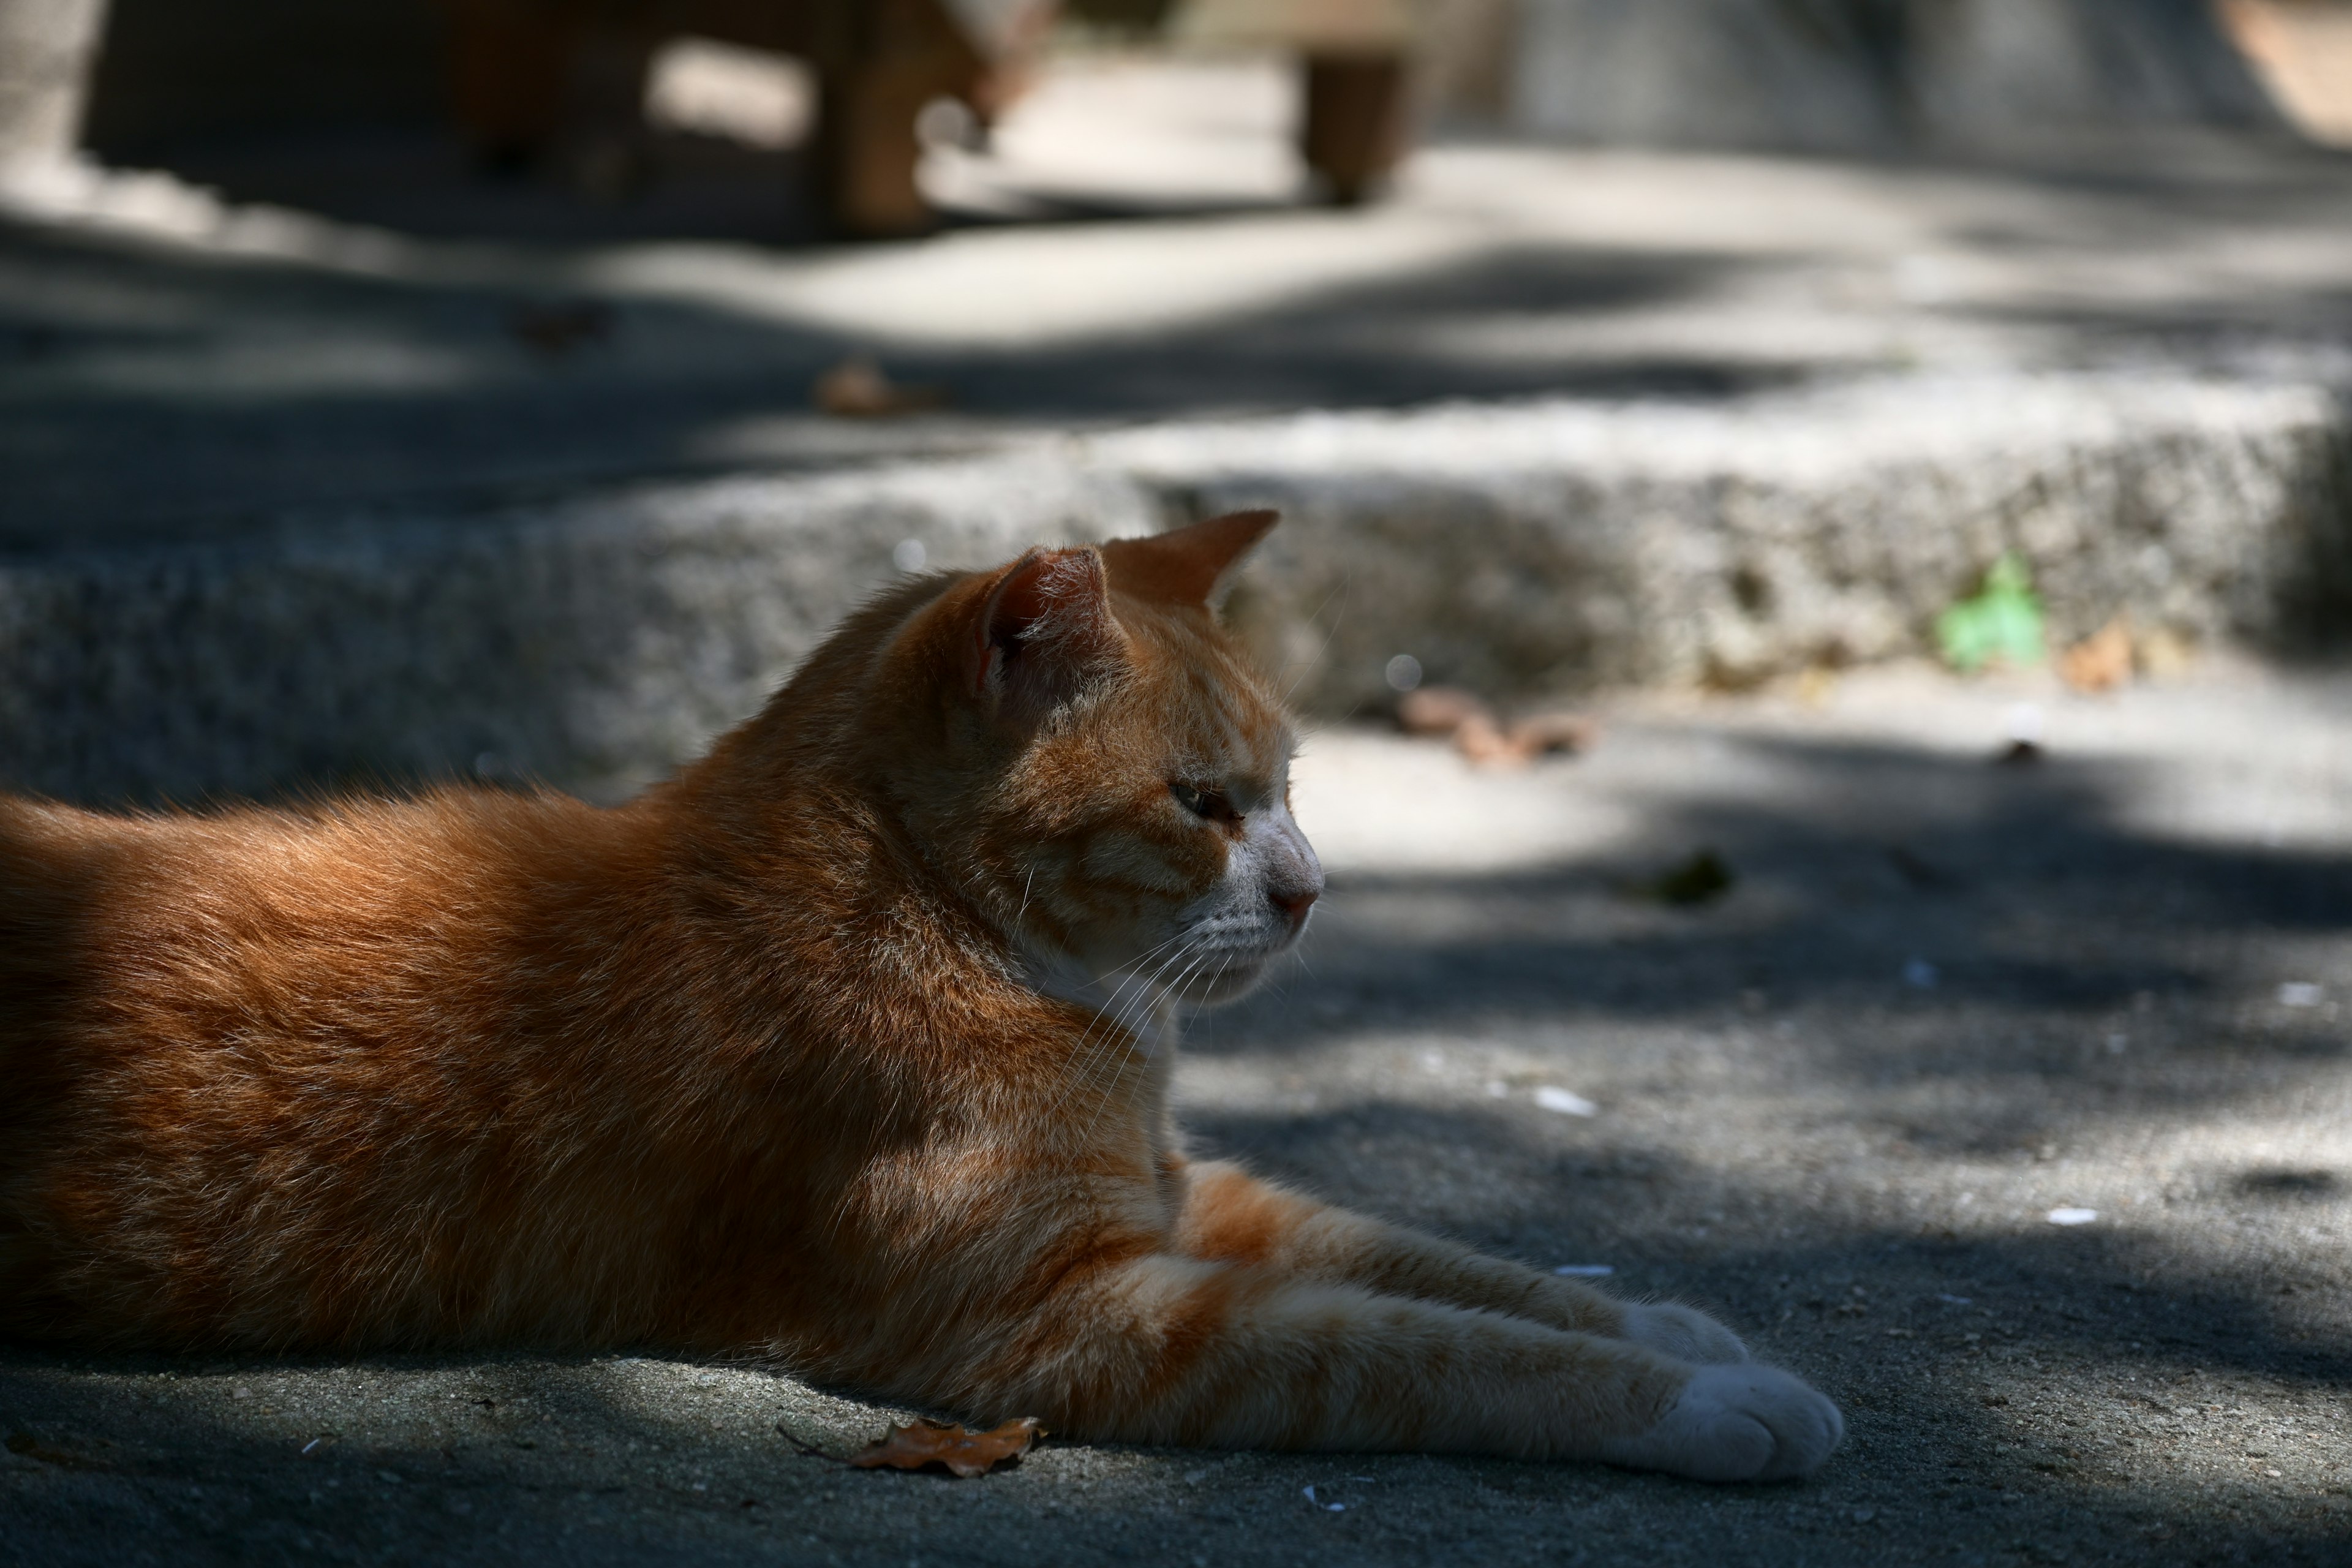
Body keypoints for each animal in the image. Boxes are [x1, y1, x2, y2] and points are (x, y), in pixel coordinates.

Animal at [0, 512, 1834, 1485]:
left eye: (1294, 786)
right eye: (1204, 803)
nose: (1311, 889)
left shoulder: (1186, 1196)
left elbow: (1446, 1261)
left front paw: (1670, 1323)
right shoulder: (1063, 1319)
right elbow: (1423, 1346)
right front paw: (1712, 1401)